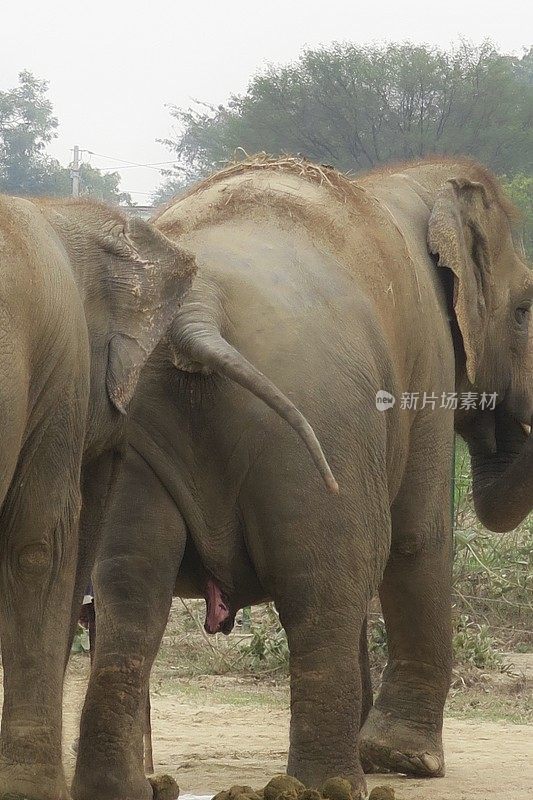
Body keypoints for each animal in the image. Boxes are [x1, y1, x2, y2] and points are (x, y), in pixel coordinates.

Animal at [71, 156, 532, 800]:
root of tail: (199, 308)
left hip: (133, 431)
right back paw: (335, 784)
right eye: (524, 309)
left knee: (129, 592)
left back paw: (118, 787)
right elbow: (417, 538)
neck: (411, 181)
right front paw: (407, 760)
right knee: (327, 581)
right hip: (323, 415)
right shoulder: (428, 365)